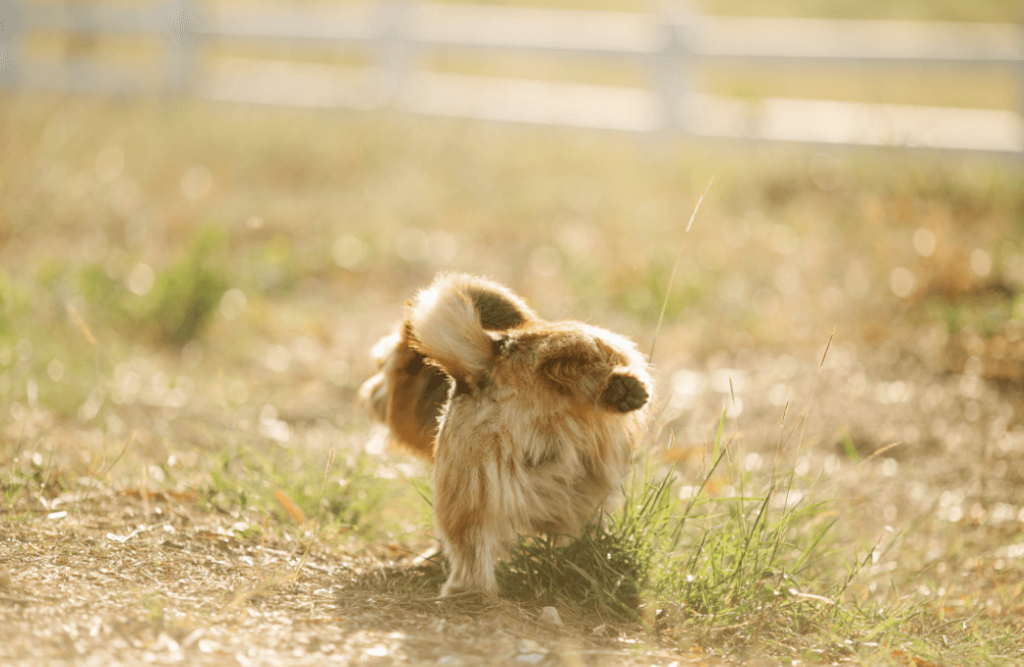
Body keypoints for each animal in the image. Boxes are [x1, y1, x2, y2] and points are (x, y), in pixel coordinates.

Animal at [360, 274, 651, 598]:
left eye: (381, 365)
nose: (369, 393)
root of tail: (493, 361)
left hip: (463, 493)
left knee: (471, 558)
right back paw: (620, 390)